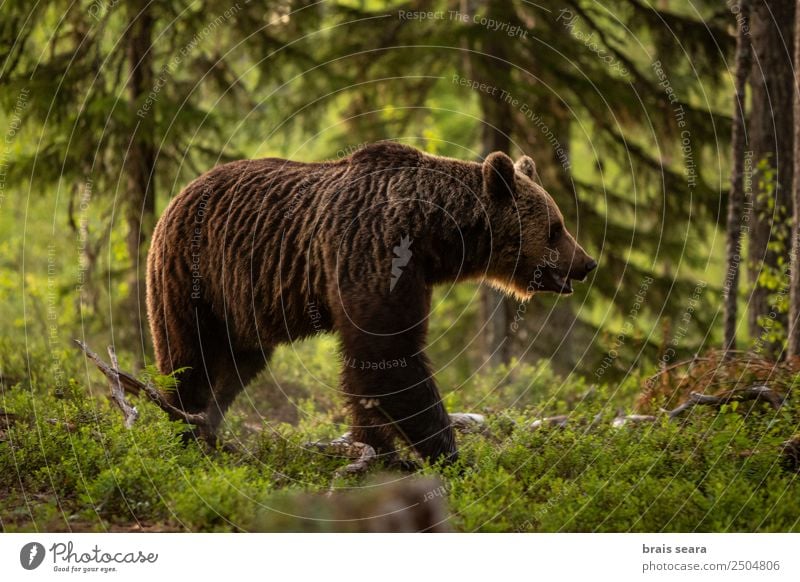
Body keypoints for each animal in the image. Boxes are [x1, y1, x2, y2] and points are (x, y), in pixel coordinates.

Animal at [145, 144, 592, 468]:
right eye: (556, 228)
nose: (587, 263)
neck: (434, 234)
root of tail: (177, 196)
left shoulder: (409, 273)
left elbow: (370, 369)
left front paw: (381, 452)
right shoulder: (376, 253)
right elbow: (389, 358)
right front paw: (447, 457)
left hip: (244, 307)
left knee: (238, 367)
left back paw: (209, 430)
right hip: (194, 277)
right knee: (189, 358)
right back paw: (183, 430)